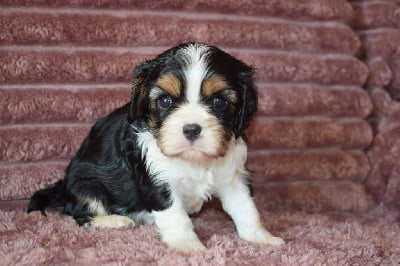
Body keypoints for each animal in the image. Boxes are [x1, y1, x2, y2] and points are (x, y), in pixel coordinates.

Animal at [27, 43, 284, 251]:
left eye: (219, 101)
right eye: (165, 101)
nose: (191, 129)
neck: (193, 160)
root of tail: (63, 188)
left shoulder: (232, 176)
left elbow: (245, 208)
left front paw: (262, 238)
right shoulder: (157, 180)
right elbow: (176, 215)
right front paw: (188, 246)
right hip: (85, 183)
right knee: (79, 215)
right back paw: (116, 221)